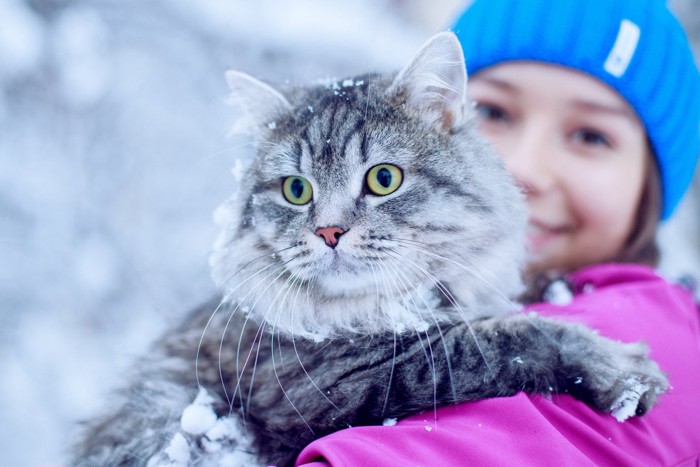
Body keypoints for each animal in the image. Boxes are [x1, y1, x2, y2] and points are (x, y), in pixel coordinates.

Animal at [71, 33, 668, 467]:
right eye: (296, 190)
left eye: (384, 179)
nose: (329, 233)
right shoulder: (327, 381)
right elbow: (508, 338)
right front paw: (621, 368)